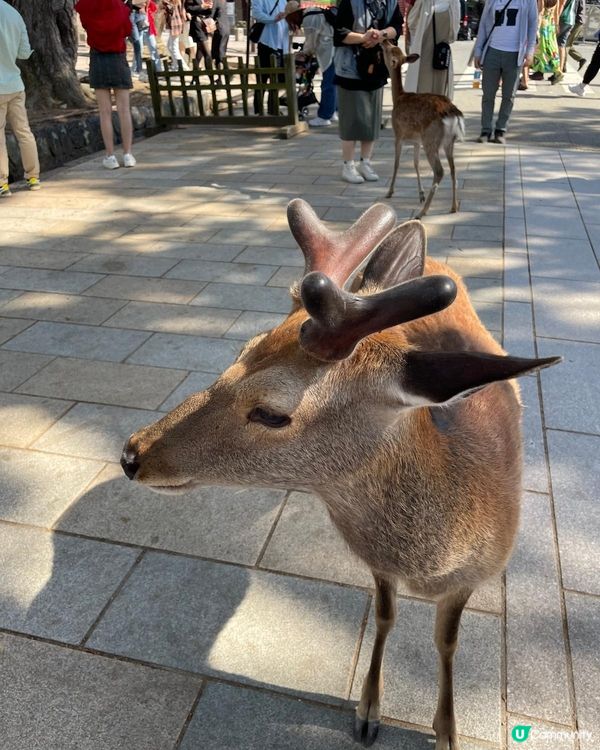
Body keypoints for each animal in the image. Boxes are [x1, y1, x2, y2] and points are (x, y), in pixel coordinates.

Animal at [120, 200, 560, 750]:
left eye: (272, 412)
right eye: (240, 352)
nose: (132, 454)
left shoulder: (477, 574)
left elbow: (447, 642)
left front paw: (447, 731)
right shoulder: (378, 566)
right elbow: (385, 615)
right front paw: (368, 710)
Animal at [381, 39, 464, 219]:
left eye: (389, 50)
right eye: (393, 47)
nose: (384, 39)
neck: (397, 98)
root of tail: (453, 113)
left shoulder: (398, 133)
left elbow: (397, 163)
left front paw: (390, 191)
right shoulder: (416, 141)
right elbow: (415, 163)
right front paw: (421, 194)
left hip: (430, 140)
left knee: (440, 171)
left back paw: (422, 212)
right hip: (449, 142)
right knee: (453, 169)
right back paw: (453, 207)